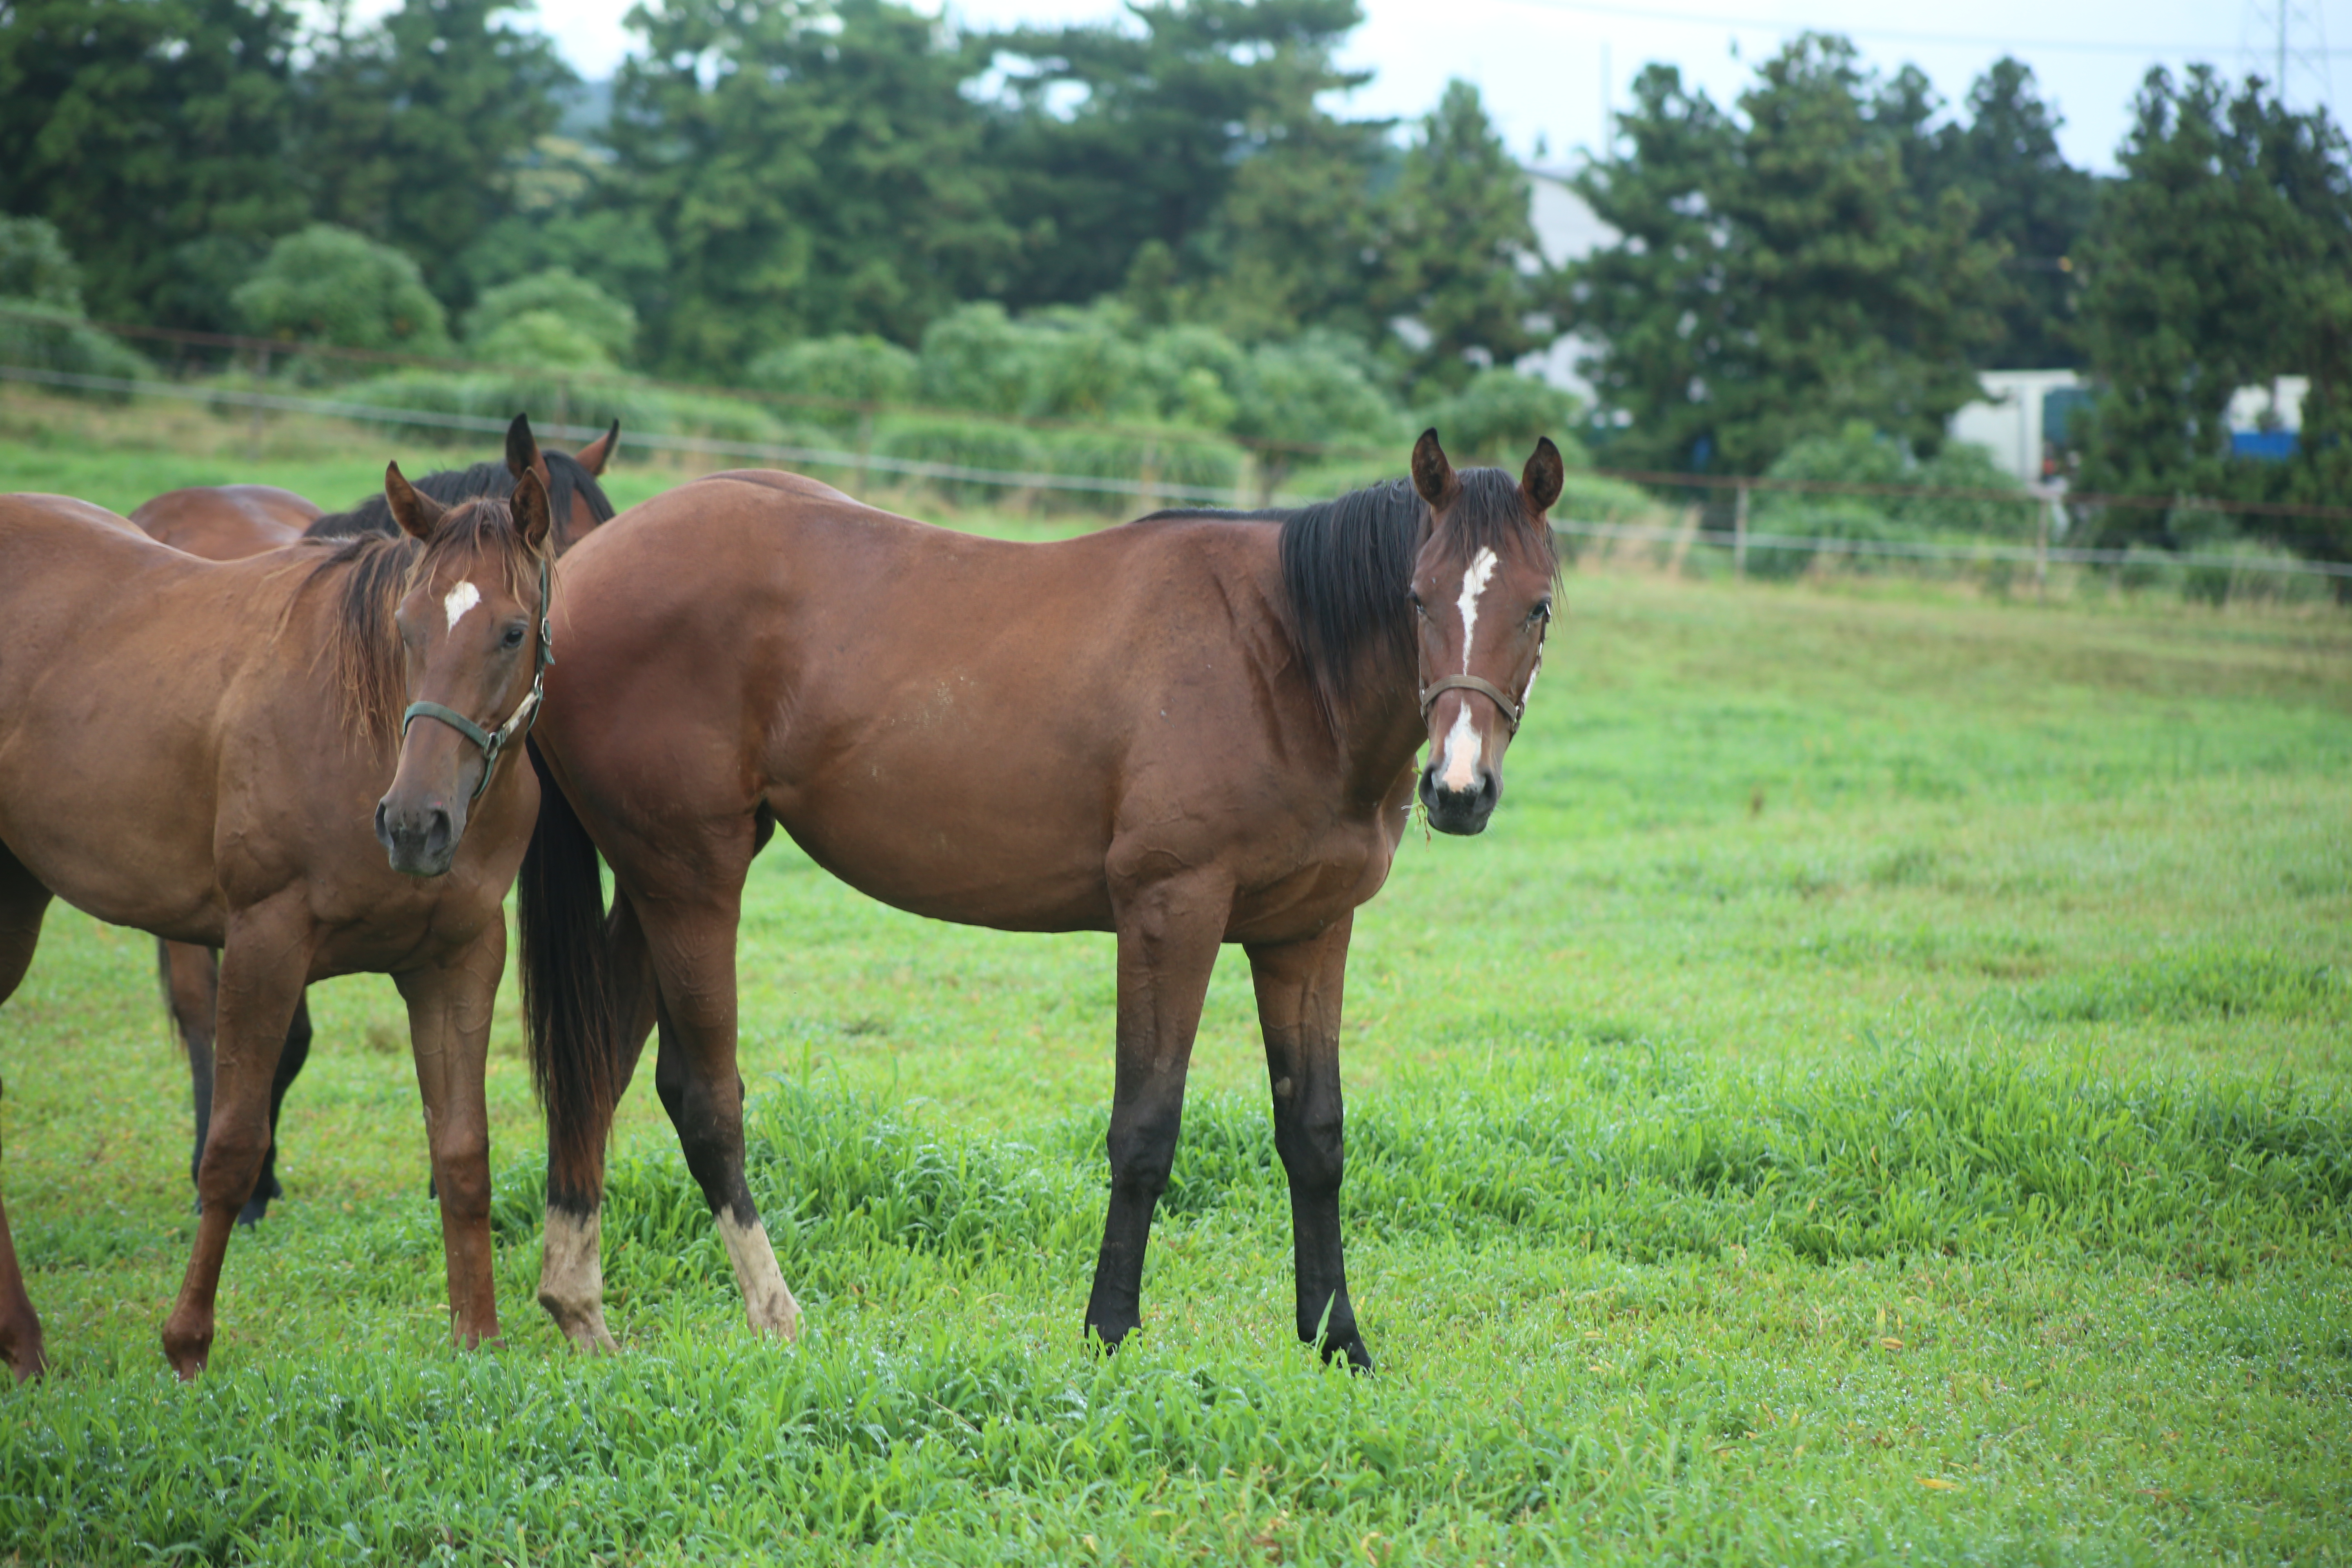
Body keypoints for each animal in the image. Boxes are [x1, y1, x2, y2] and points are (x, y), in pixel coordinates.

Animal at [0, 463, 559, 1373]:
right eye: (406, 627)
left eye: (513, 633)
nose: (414, 824)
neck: (362, 734)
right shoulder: (264, 942)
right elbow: (231, 1148)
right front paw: (187, 1344)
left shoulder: (459, 960)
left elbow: (463, 1153)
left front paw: (478, 1337)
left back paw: (23, 1347)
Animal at [510, 423, 1561, 1363]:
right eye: (1416, 598)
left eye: (1539, 606)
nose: (1457, 790)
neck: (1281, 656)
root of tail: (571, 582)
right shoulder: (1169, 913)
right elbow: (1144, 1130)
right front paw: (1110, 1333)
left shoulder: (1307, 930)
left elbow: (1315, 1134)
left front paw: (1337, 1340)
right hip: (692, 878)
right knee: (702, 1096)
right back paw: (775, 1316)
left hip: (656, 882)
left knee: (595, 1067)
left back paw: (578, 1307)